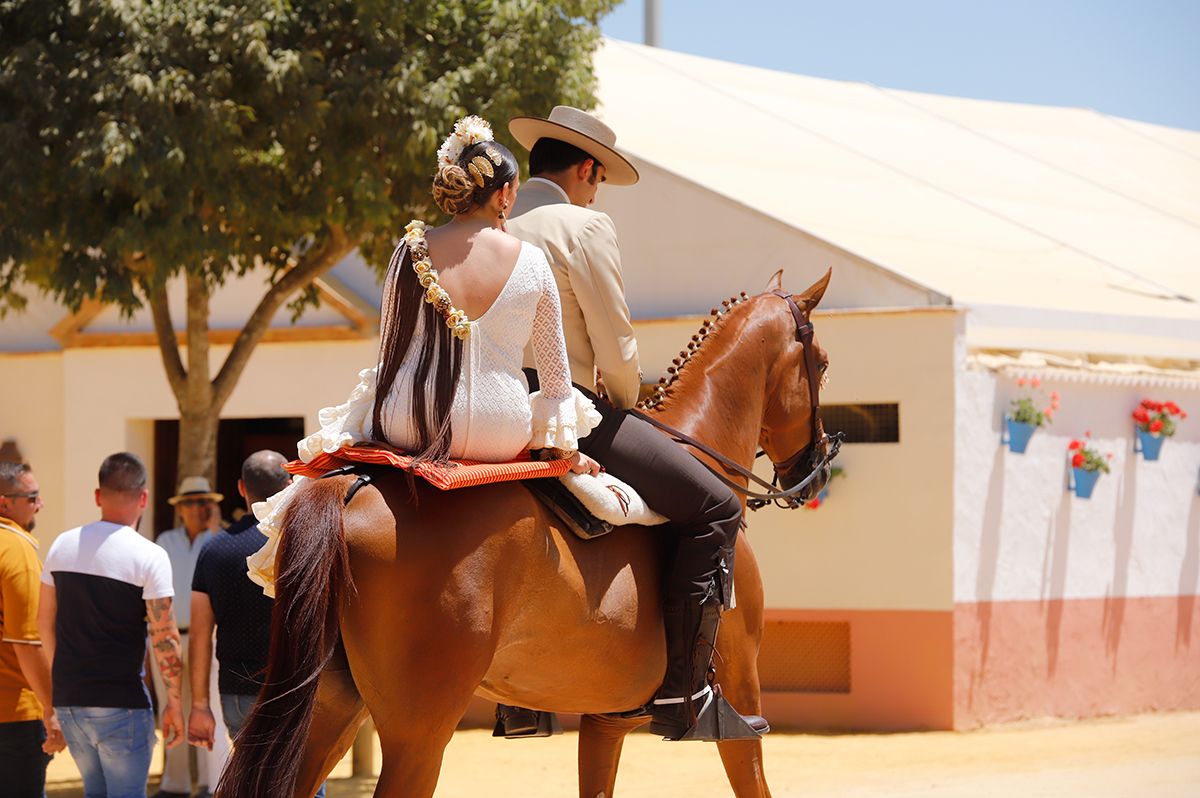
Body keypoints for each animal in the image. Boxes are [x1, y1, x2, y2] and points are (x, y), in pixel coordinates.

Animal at [220, 268, 830, 796]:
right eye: (822, 364)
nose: (818, 465)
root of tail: (357, 484)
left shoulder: (606, 720)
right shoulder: (743, 698)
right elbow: (753, 780)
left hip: (327, 711)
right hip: (418, 732)